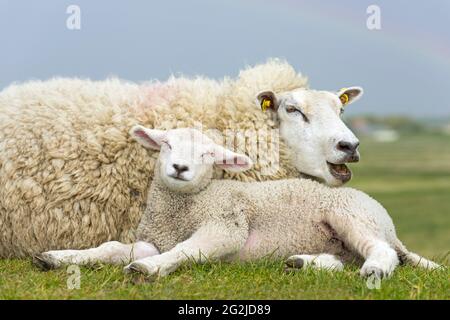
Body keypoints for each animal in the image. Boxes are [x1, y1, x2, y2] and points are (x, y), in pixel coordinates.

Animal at [34, 126, 440, 278]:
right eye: (166, 144)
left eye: (209, 155)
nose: (179, 167)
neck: (184, 208)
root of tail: (390, 225)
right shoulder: (152, 239)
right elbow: (111, 248)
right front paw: (59, 257)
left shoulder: (226, 225)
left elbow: (186, 250)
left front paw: (150, 270)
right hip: (344, 237)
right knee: (342, 260)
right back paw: (302, 262)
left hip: (351, 215)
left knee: (381, 253)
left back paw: (375, 271)